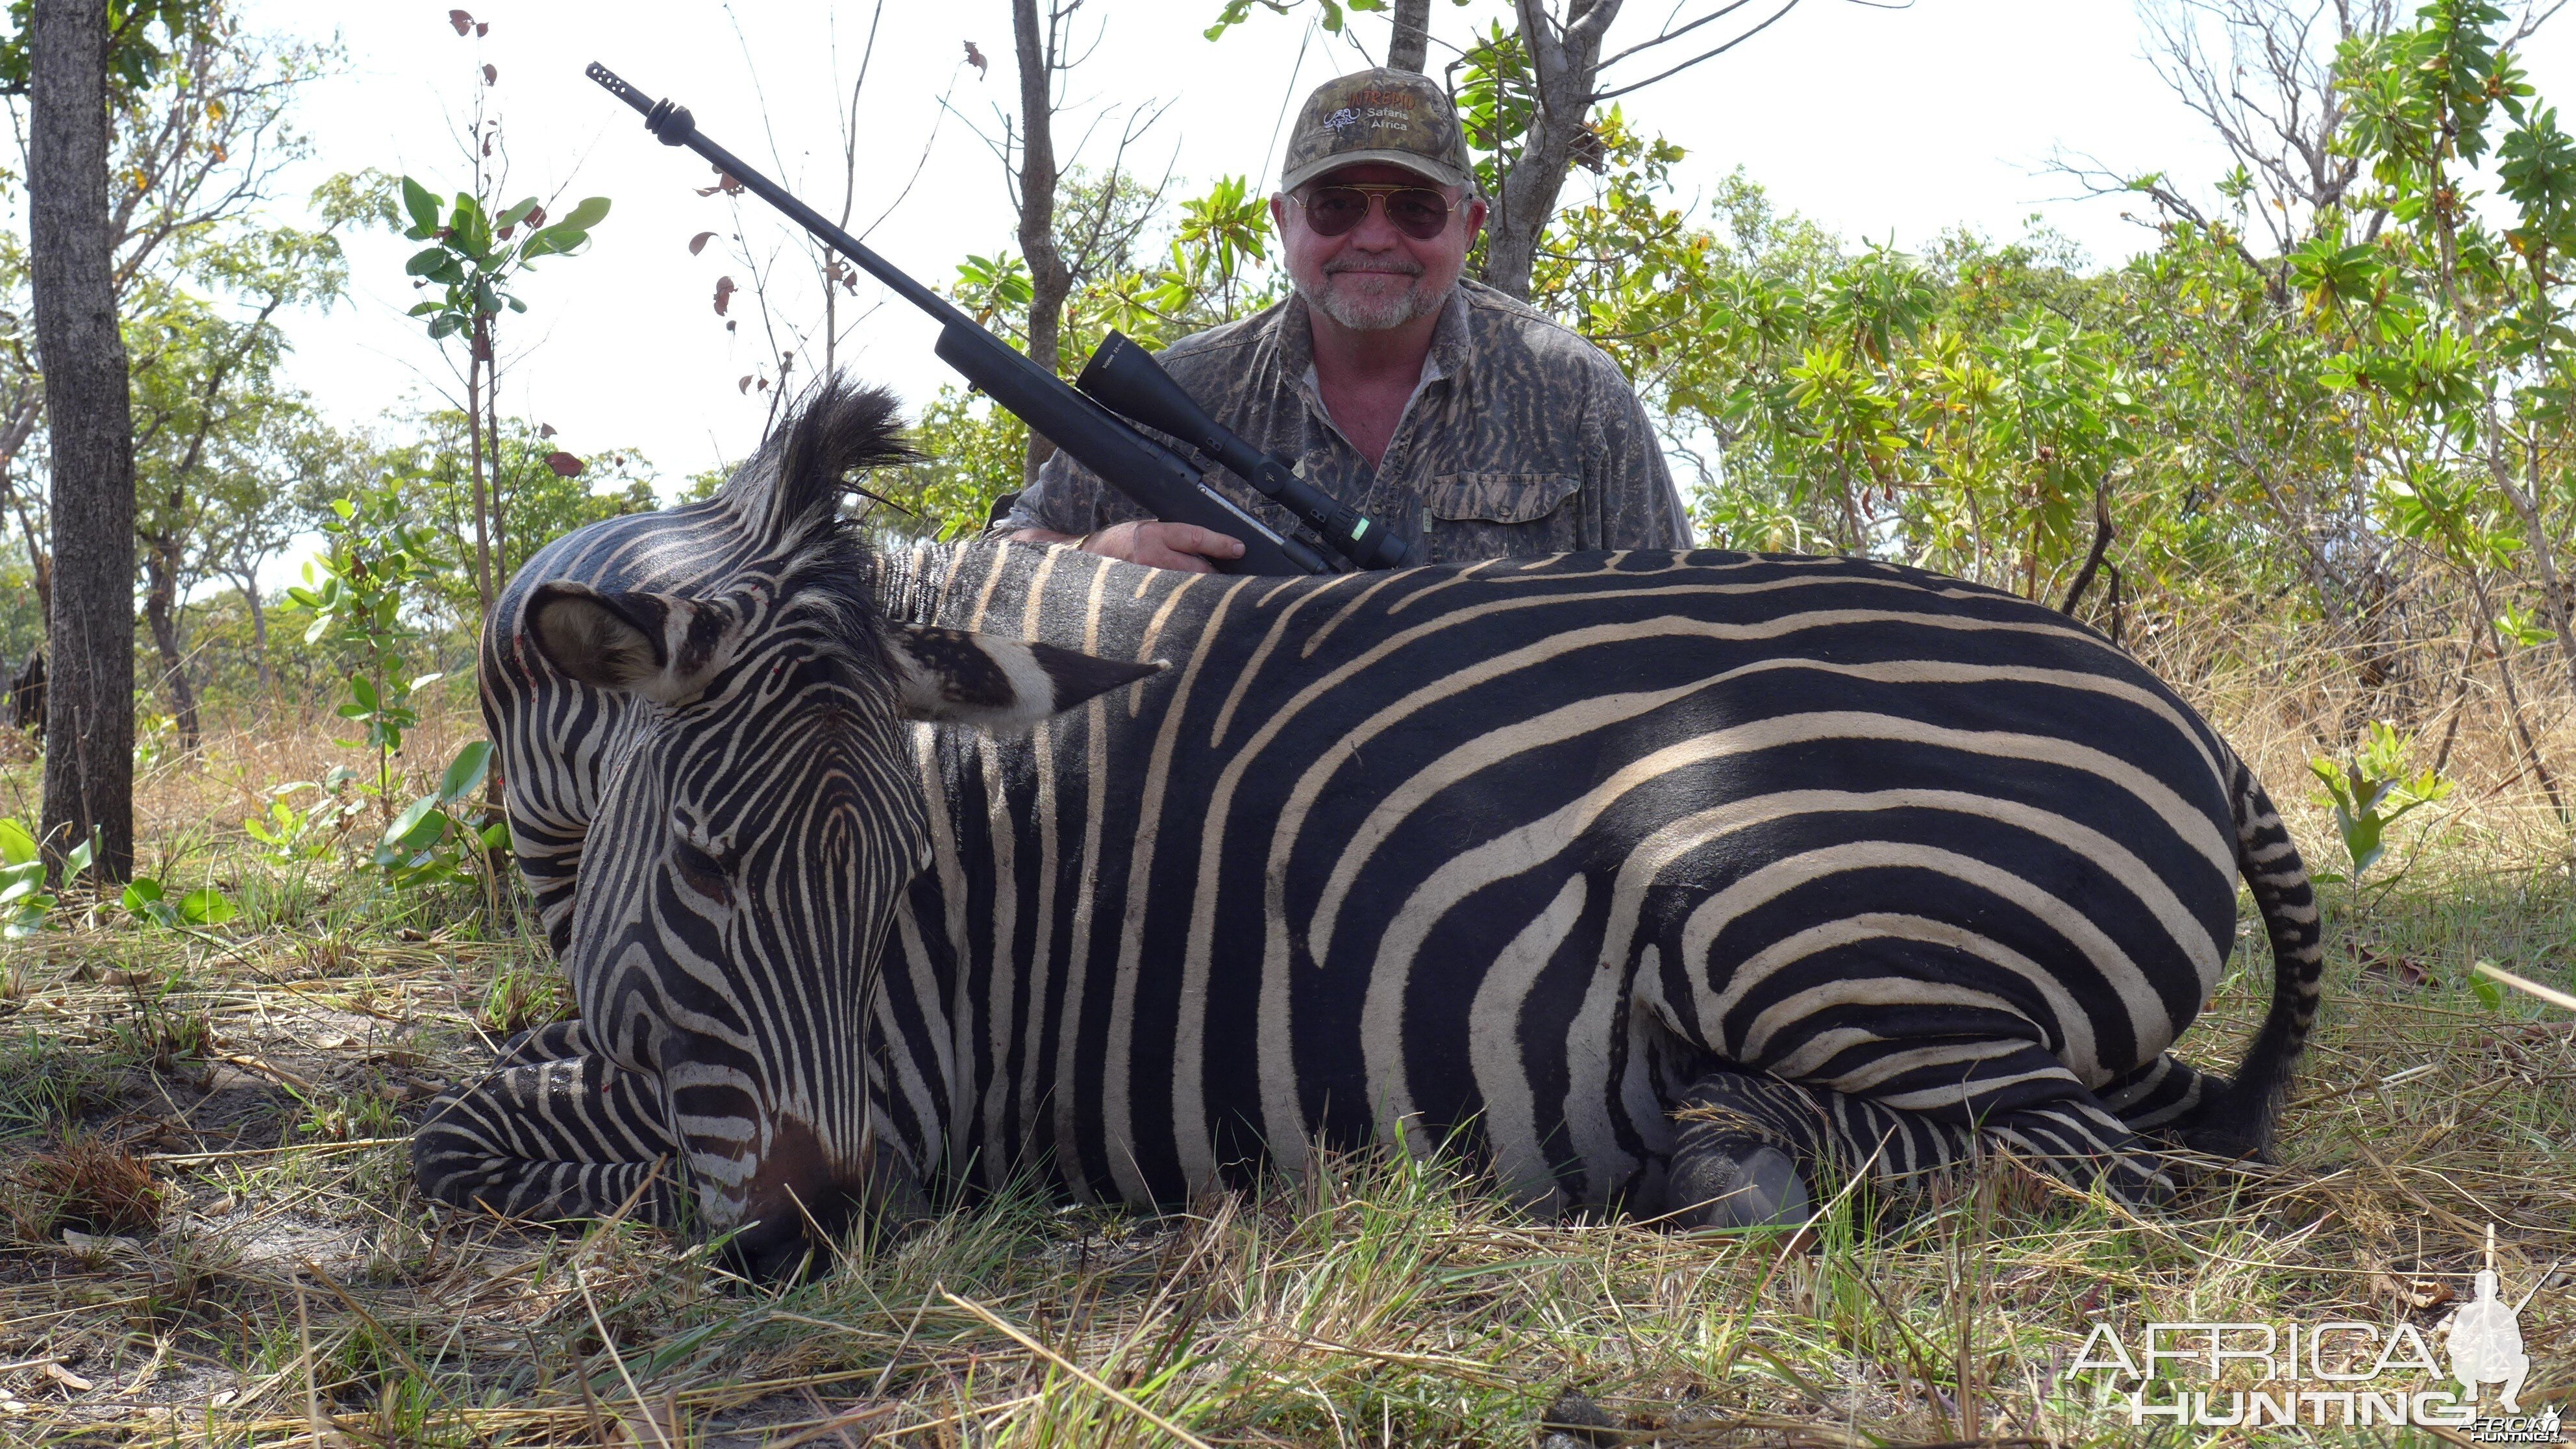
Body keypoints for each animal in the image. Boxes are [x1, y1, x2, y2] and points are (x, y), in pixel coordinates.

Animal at [417, 381, 2318, 1273]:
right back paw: (1724, 1131)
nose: (817, 1240)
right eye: (705, 869)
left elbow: (459, 1131)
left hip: (1781, 896)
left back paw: (1723, 1152)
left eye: (903, 890)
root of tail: (2192, 724)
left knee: (2074, 1159)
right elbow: (489, 1094)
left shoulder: (907, 1072)